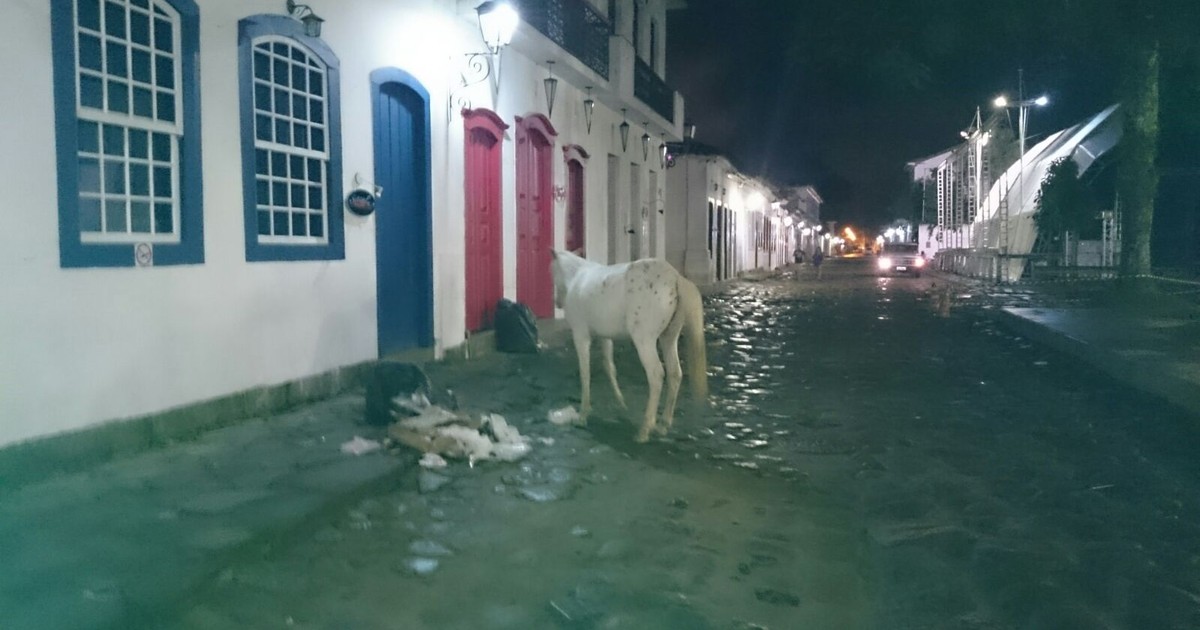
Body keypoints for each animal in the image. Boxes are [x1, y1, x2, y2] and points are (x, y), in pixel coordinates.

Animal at [549, 248, 705, 439]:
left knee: (656, 375)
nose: (557, 302)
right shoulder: (605, 337)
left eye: (552, 271)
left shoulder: (581, 336)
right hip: (668, 338)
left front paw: (583, 414)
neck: (576, 277)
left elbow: (585, 373)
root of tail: (676, 278)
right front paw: (621, 403)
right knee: (675, 373)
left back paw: (645, 430)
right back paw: (663, 424)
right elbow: (609, 367)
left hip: (644, 341)